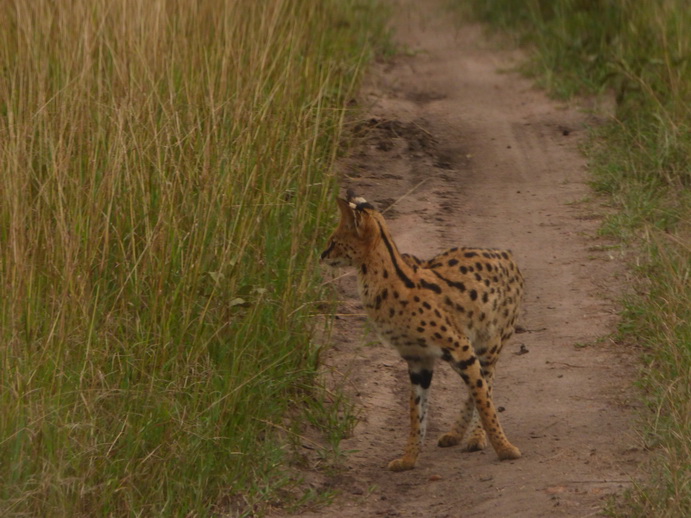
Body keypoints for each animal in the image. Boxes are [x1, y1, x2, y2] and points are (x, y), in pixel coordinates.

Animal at [320, 193, 524, 474]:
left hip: (488, 344)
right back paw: (456, 434)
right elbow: (416, 413)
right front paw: (408, 459)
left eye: (334, 241)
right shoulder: (418, 360)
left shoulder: (459, 347)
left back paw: (475, 436)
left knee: (485, 385)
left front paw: (504, 448)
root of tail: (506, 254)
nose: (321, 255)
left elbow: (484, 402)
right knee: (477, 386)